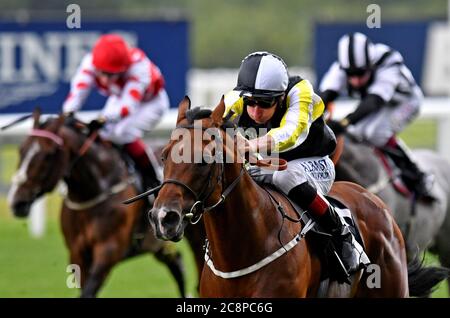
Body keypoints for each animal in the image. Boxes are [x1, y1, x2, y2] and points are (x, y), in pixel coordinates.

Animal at [7, 110, 186, 298]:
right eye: (21, 150)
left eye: (48, 154)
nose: (16, 201)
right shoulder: (77, 253)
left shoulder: (108, 250)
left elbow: (88, 291)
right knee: (176, 261)